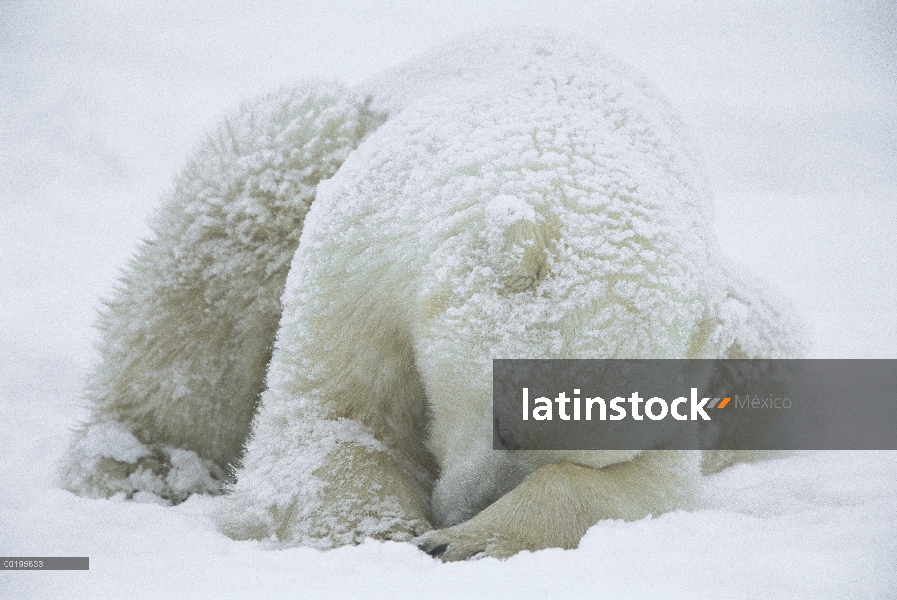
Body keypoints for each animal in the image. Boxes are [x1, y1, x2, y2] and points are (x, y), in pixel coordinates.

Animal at [65, 30, 804, 560]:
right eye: (504, 413)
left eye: (582, 446)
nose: (469, 508)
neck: (550, 138)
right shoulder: (368, 262)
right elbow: (331, 420)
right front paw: (387, 538)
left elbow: (648, 485)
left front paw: (465, 541)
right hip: (305, 152)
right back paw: (147, 464)